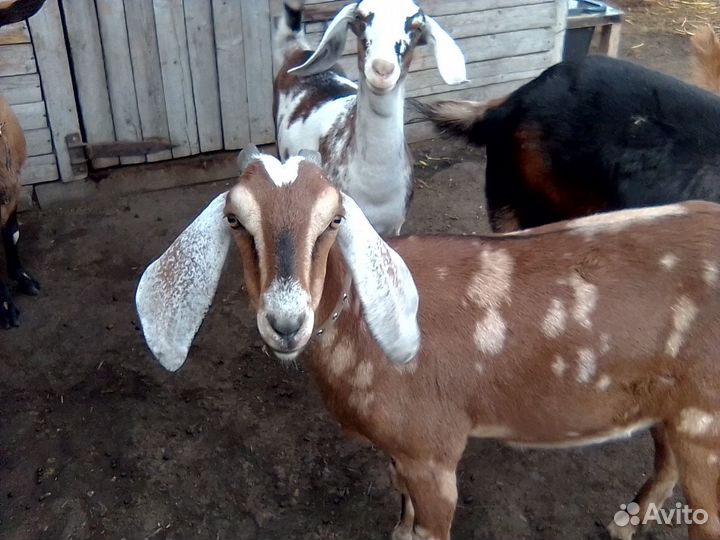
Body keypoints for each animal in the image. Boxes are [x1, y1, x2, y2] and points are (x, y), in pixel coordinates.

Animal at [138, 147, 720, 540]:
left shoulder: (433, 452)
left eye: (334, 220)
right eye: (235, 219)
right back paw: (625, 523)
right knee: (665, 461)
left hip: (707, 426)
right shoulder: (402, 453)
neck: (360, 329)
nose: (285, 322)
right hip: (673, 407)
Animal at [273, 0, 466, 236]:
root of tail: (298, 50)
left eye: (417, 27)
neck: (375, 186)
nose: (382, 69)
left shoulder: (394, 227)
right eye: (360, 18)